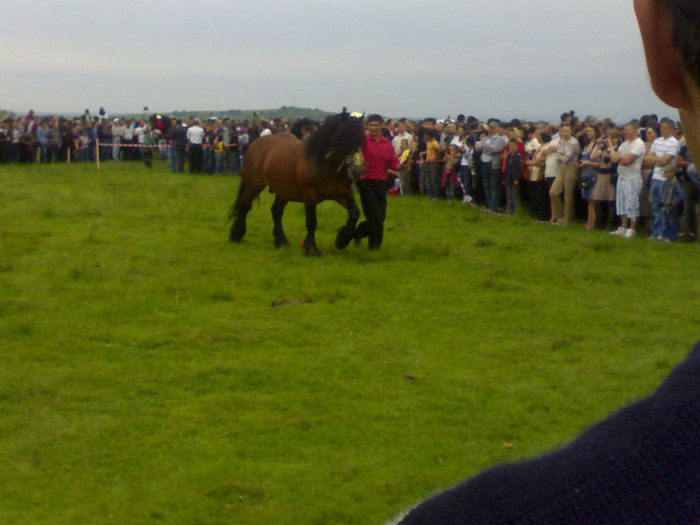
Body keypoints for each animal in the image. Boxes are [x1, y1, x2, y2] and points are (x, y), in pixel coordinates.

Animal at [228, 110, 364, 256]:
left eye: (362, 140)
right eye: (345, 138)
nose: (358, 170)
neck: (324, 164)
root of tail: (256, 142)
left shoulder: (343, 194)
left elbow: (355, 212)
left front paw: (342, 239)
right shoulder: (310, 196)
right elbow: (311, 222)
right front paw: (312, 249)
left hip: (283, 190)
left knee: (276, 211)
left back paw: (281, 241)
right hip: (254, 184)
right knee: (245, 205)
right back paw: (236, 234)